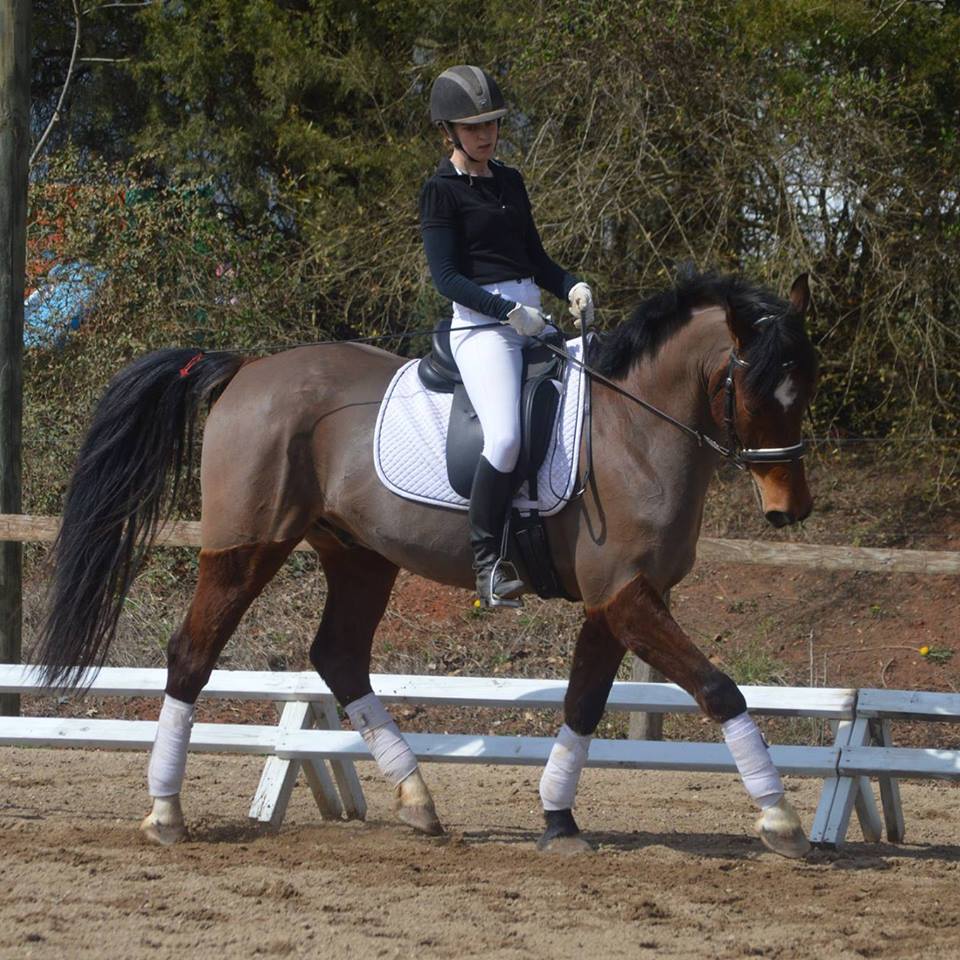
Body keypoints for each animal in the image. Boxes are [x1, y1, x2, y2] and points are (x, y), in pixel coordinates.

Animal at [35, 268, 818, 857]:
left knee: (338, 655)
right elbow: (719, 689)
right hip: (247, 546)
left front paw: (558, 820)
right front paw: (779, 818)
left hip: (359, 556)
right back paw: (166, 812)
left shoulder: (616, 598)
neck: (635, 429)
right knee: (192, 652)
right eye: (754, 386)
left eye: (803, 384)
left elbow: (583, 704)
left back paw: (417, 799)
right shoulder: (627, 597)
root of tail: (247, 368)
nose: (791, 509)